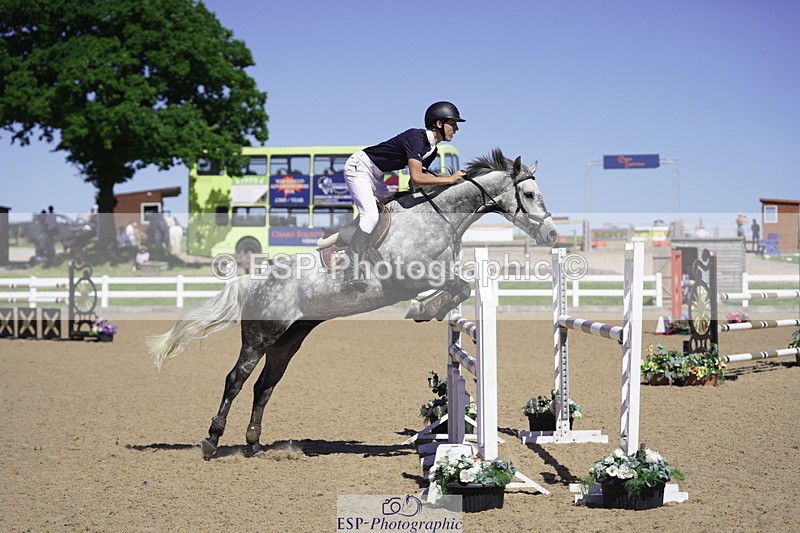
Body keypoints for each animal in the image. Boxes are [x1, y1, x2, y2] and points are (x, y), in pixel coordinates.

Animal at [146, 148, 558, 459]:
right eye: (530, 195)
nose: (553, 235)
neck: (438, 218)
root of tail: (255, 281)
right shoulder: (412, 275)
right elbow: (459, 286)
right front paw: (423, 309)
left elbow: (461, 288)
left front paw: (429, 310)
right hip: (261, 337)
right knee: (236, 380)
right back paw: (212, 441)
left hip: (288, 341)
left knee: (264, 385)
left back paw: (255, 446)